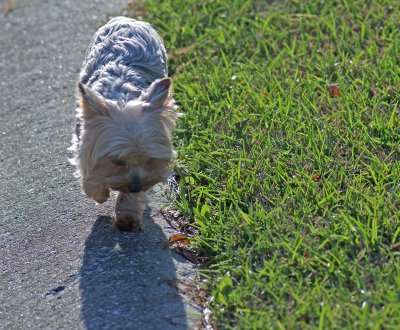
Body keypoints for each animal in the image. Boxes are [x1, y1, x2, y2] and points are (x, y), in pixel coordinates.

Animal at [69, 16, 177, 231]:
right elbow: (88, 173)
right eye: (117, 161)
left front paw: (127, 215)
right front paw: (99, 193)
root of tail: (129, 20)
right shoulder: (85, 138)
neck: (122, 98)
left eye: (149, 160)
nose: (135, 186)